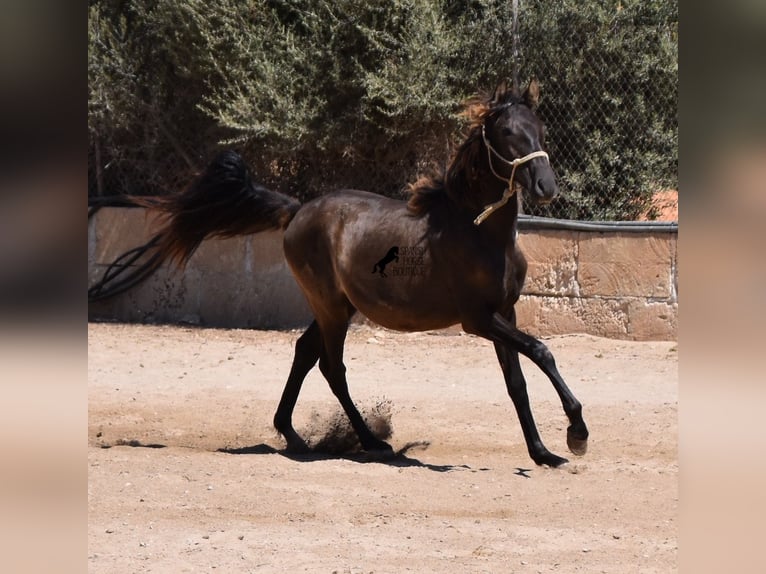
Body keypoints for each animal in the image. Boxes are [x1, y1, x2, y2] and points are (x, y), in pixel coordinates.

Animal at [142, 80, 588, 468]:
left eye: (541, 129)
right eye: (508, 131)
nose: (546, 186)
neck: (477, 230)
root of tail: (297, 210)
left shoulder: (504, 312)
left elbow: (517, 382)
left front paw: (544, 453)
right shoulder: (478, 319)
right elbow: (541, 352)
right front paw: (577, 433)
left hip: (336, 306)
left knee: (305, 352)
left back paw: (293, 434)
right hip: (331, 308)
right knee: (331, 367)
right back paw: (371, 442)